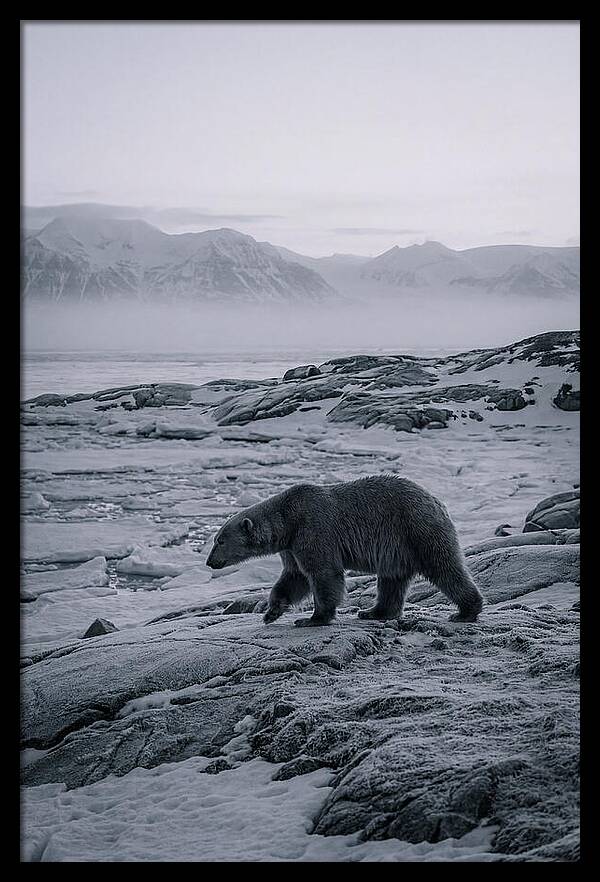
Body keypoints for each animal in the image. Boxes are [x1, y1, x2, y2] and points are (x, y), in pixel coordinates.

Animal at [205, 475, 483, 627]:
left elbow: (323, 573)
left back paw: (466, 611)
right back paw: (373, 612)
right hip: (397, 548)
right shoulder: (292, 546)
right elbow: (294, 577)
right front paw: (271, 612)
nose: (209, 562)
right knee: (392, 580)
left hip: (417, 529)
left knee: (444, 567)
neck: (288, 519)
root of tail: (437, 501)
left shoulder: (313, 528)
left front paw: (313, 618)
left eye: (219, 540)